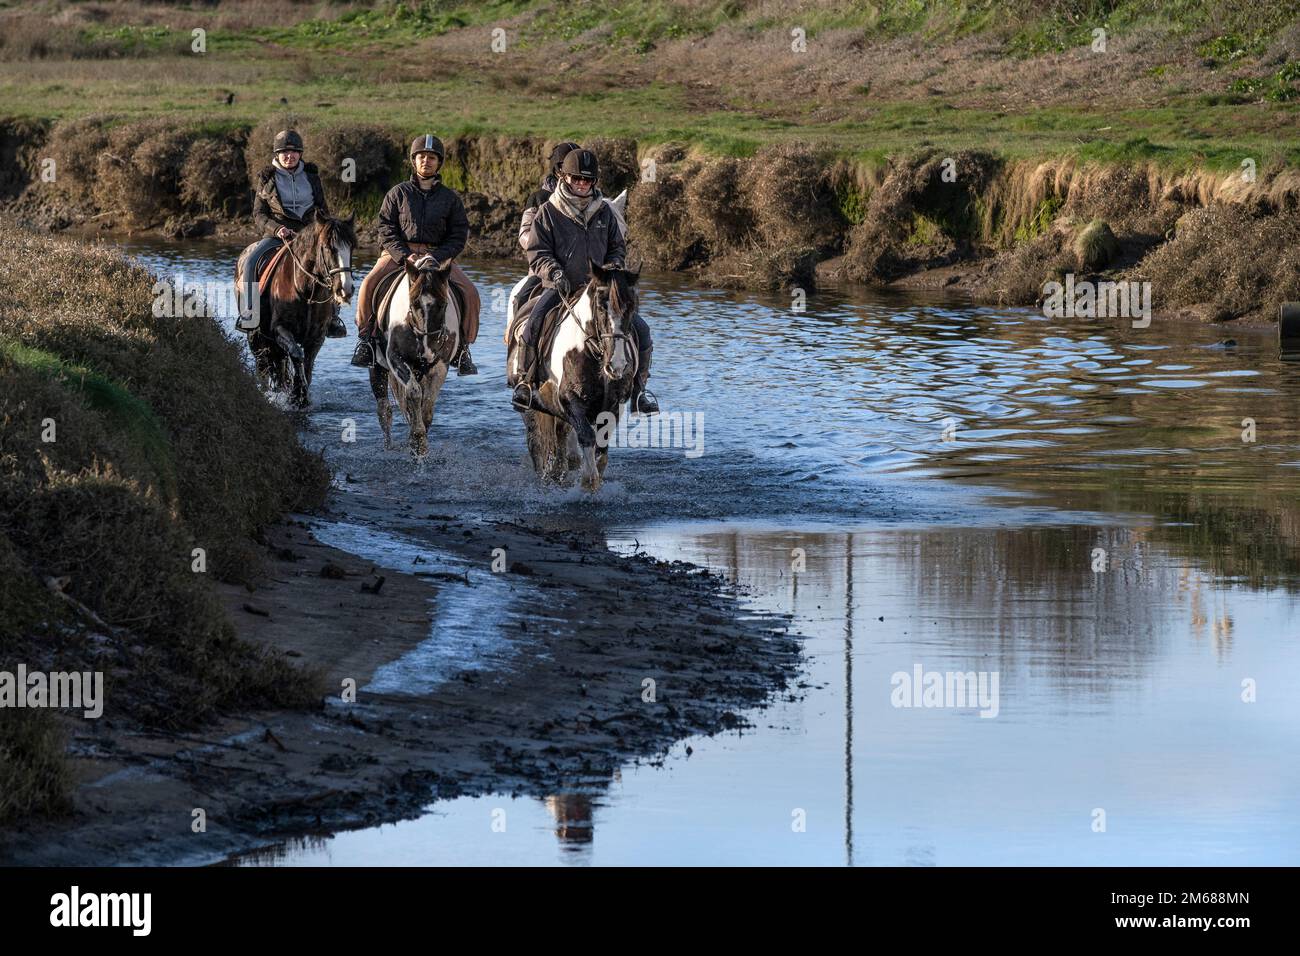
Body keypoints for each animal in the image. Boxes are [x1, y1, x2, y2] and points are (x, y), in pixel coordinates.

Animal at [242, 215, 356, 408]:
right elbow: (297, 355)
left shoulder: (316, 337)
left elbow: (307, 364)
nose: (345, 289)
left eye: (351, 247)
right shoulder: (280, 329)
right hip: (257, 340)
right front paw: (298, 395)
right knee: (263, 366)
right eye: (328, 247)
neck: (306, 289)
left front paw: (300, 395)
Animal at [368, 257, 459, 459]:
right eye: (414, 303)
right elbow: (414, 393)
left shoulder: (440, 365)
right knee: (384, 411)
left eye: (443, 305)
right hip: (377, 366)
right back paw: (388, 447)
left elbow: (427, 404)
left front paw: (420, 441)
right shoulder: (396, 359)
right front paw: (418, 440)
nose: (427, 351)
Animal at [517, 261, 640, 492]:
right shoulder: (569, 399)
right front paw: (588, 481)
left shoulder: (614, 405)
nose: (617, 365)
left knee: (562, 435)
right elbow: (587, 436)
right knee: (539, 441)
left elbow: (602, 445)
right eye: (601, 307)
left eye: (631, 307)